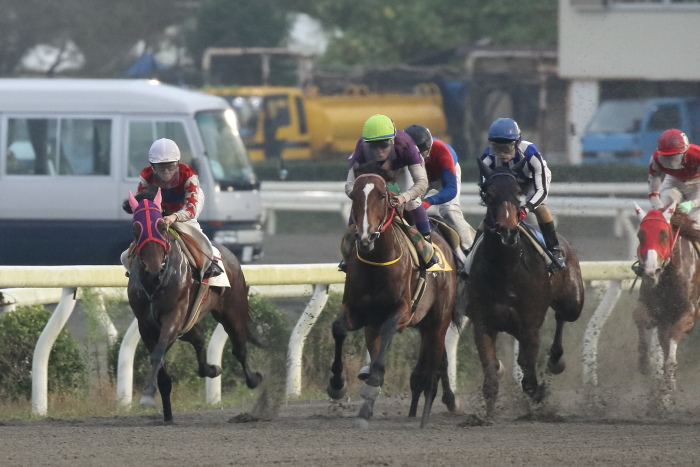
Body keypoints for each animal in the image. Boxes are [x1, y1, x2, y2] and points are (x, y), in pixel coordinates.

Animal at [125, 189, 260, 424]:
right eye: (136, 229)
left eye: (161, 226)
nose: (153, 270)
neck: (155, 283)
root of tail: (231, 255)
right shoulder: (146, 325)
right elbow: (161, 367)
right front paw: (166, 412)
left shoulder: (173, 316)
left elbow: (158, 353)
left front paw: (148, 396)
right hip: (188, 322)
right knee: (198, 336)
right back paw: (211, 369)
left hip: (232, 312)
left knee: (239, 349)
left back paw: (253, 379)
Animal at [326, 171, 462, 428]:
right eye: (354, 196)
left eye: (382, 196)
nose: (366, 237)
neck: (377, 263)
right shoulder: (359, 313)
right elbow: (338, 328)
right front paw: (337, 384)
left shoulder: (403, 312)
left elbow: (387, 338)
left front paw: (372, 385)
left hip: (438, 321)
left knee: (435, 363)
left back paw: (426, 414)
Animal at [464, 160, 584, 416]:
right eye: (487, 193)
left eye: (518, 192)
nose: (507, 230)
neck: (506, 269)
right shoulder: (483, 323)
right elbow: (491, 371)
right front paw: (485, 416)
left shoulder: (530, 326)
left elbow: (529, 377)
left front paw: (539, 393)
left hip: (573, 302)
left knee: (562, 316)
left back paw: (555, 360)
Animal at [632, 203, 696, 408]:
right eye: (640, 235)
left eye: (664, 234)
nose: (651, 271)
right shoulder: (655, 309)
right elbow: (639, 317)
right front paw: (644, 362)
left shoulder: (690, 313)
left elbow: (671, 356)